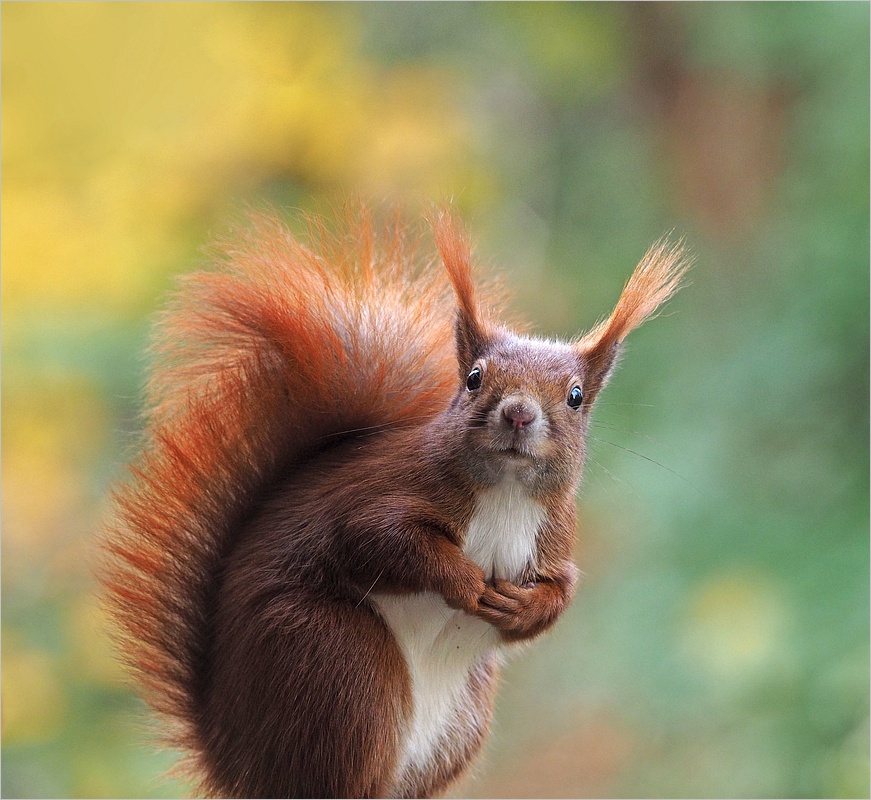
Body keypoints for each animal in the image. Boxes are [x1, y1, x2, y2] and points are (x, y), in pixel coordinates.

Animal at [101, 206, 688, 799]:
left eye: (575, 396)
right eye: (474, 378)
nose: (519, 413)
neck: (505, 494)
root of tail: (236, 761)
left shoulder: (552, 541)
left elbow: (557, 596)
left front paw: (521, 606)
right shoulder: (381, 494)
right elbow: (380, 540)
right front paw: (462, 579)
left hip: (455, 721)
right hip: (340, 664)